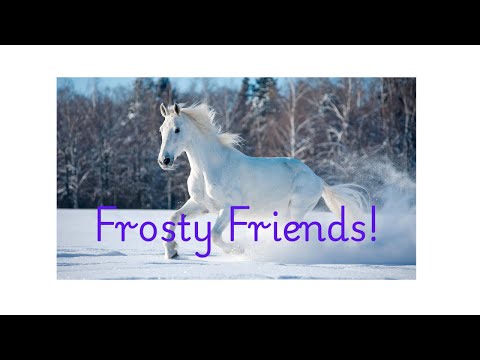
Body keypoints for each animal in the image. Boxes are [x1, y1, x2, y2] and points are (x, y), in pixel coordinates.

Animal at [159, 102, 366, 258]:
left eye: (177, 129)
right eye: (161, 130)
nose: (164, 160)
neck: (208, 168)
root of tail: (318, 179)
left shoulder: (229, 208)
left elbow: (215, 235)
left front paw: (239, 250)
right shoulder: (200, 204)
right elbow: (173, 217)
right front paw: (172, 252)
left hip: (297, 210)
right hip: (284, 214)